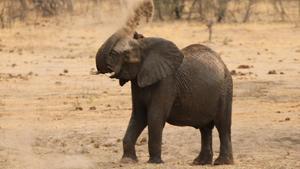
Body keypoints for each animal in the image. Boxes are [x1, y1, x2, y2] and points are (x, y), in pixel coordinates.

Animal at [96, 30, 234, 165]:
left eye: (125, 54)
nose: (136, 33)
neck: (145, 46)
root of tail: (223, 64)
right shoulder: (137, 83)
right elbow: (138, 116)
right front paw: (127, 161)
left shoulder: (166, 82)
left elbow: (155, 116)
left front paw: (154, 162)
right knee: (205, 129)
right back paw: (199, 162)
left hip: (225, 90)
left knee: (222, 126)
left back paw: (222, 162)